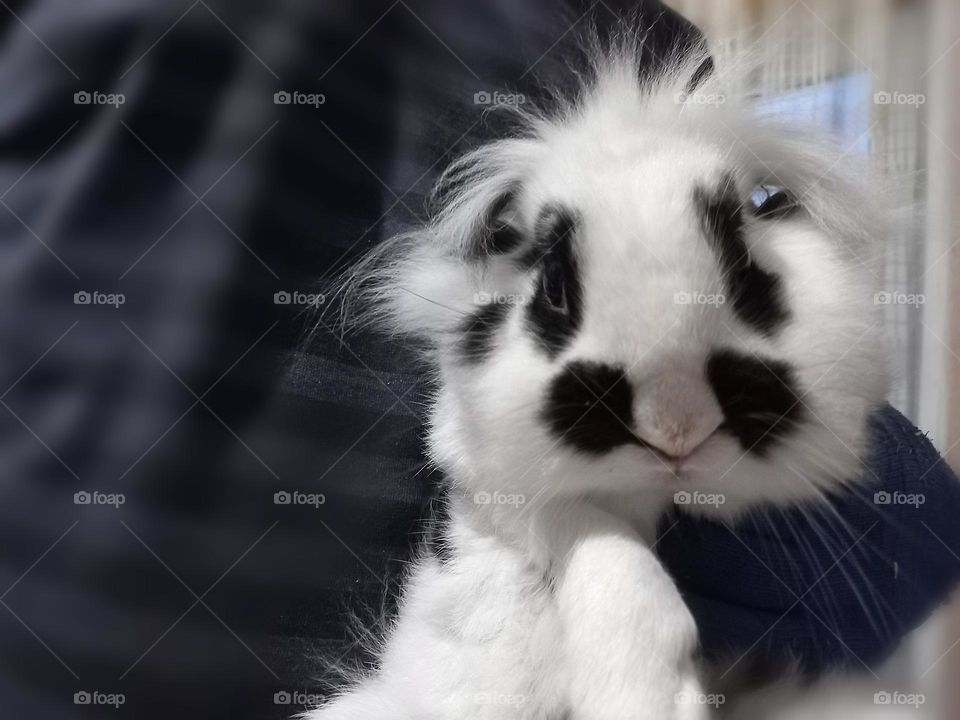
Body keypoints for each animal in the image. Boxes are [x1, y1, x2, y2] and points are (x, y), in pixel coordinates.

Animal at [309, 32, 907, 720]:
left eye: (747, 264)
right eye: (554, 287)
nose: (675, 429)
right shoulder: (497, 490)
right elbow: (601, 541)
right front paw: (647, 696)